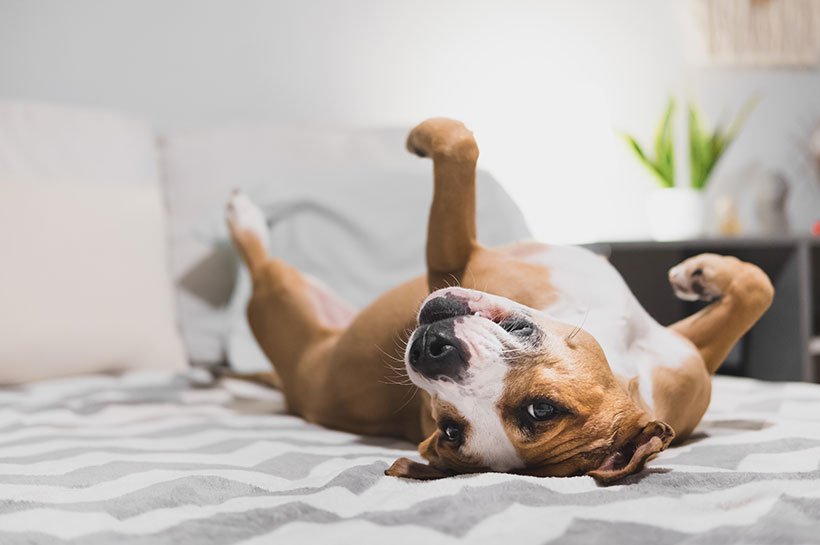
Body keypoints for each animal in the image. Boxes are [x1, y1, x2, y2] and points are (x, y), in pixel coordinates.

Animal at [226, 117, 776, 482]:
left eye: (540, 410)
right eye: (448, 428)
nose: (433, 353)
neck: (625, 353)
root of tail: (293, 390)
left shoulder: (452, 258)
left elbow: (458, 142)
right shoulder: (687, 359)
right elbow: (759, 288)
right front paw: (702, 274)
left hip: (280, 301)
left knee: (260, 266)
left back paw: (243, 217)